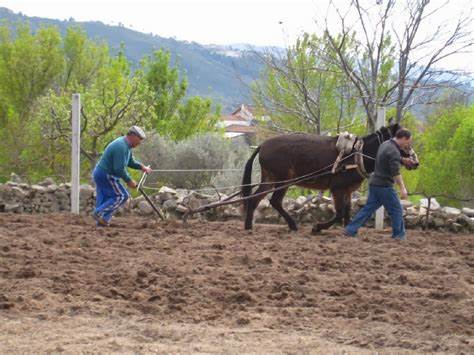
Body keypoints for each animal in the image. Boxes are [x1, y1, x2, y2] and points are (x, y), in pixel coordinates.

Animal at [241, 124, 418, 235]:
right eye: (406, 143)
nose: (416, 162)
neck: (356, 155)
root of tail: (263, 145)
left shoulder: (347, 189)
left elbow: (347, 211)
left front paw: (348, 229)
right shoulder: (337, 188)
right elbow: (339, 213)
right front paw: (318, 227)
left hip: (270, 179)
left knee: (256, 199)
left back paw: (250, 226)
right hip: (282, 181)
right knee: (273, 201)